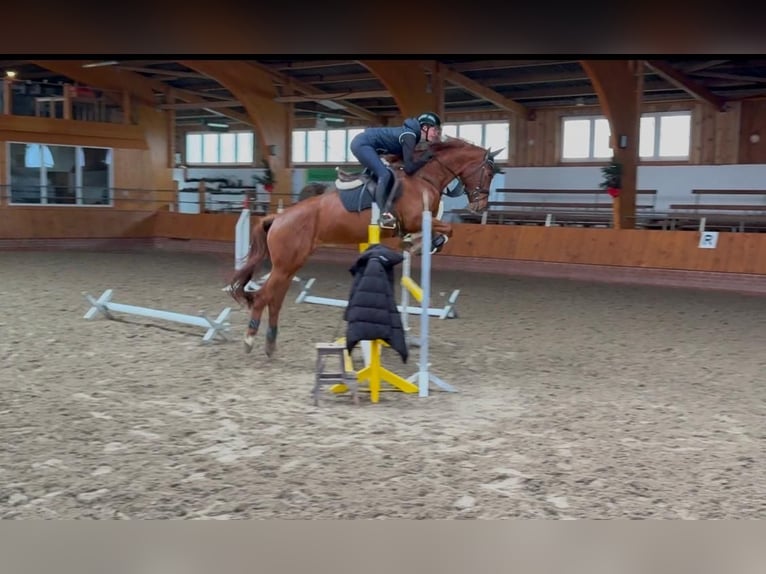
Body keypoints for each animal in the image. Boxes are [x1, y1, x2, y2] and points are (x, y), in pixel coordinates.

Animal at [231, 137, 500, 358]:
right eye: (488, 172)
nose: (479, 207)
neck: (424, 177)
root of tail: (278, 218)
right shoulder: (417, 219)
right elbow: (446, 230)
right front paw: (419, 245)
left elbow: (441, 232)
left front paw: (418, 244)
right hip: (285, 266)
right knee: (263, 297)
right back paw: (249, 340)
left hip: (290, 265)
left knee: (274, 300)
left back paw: (270, 344)